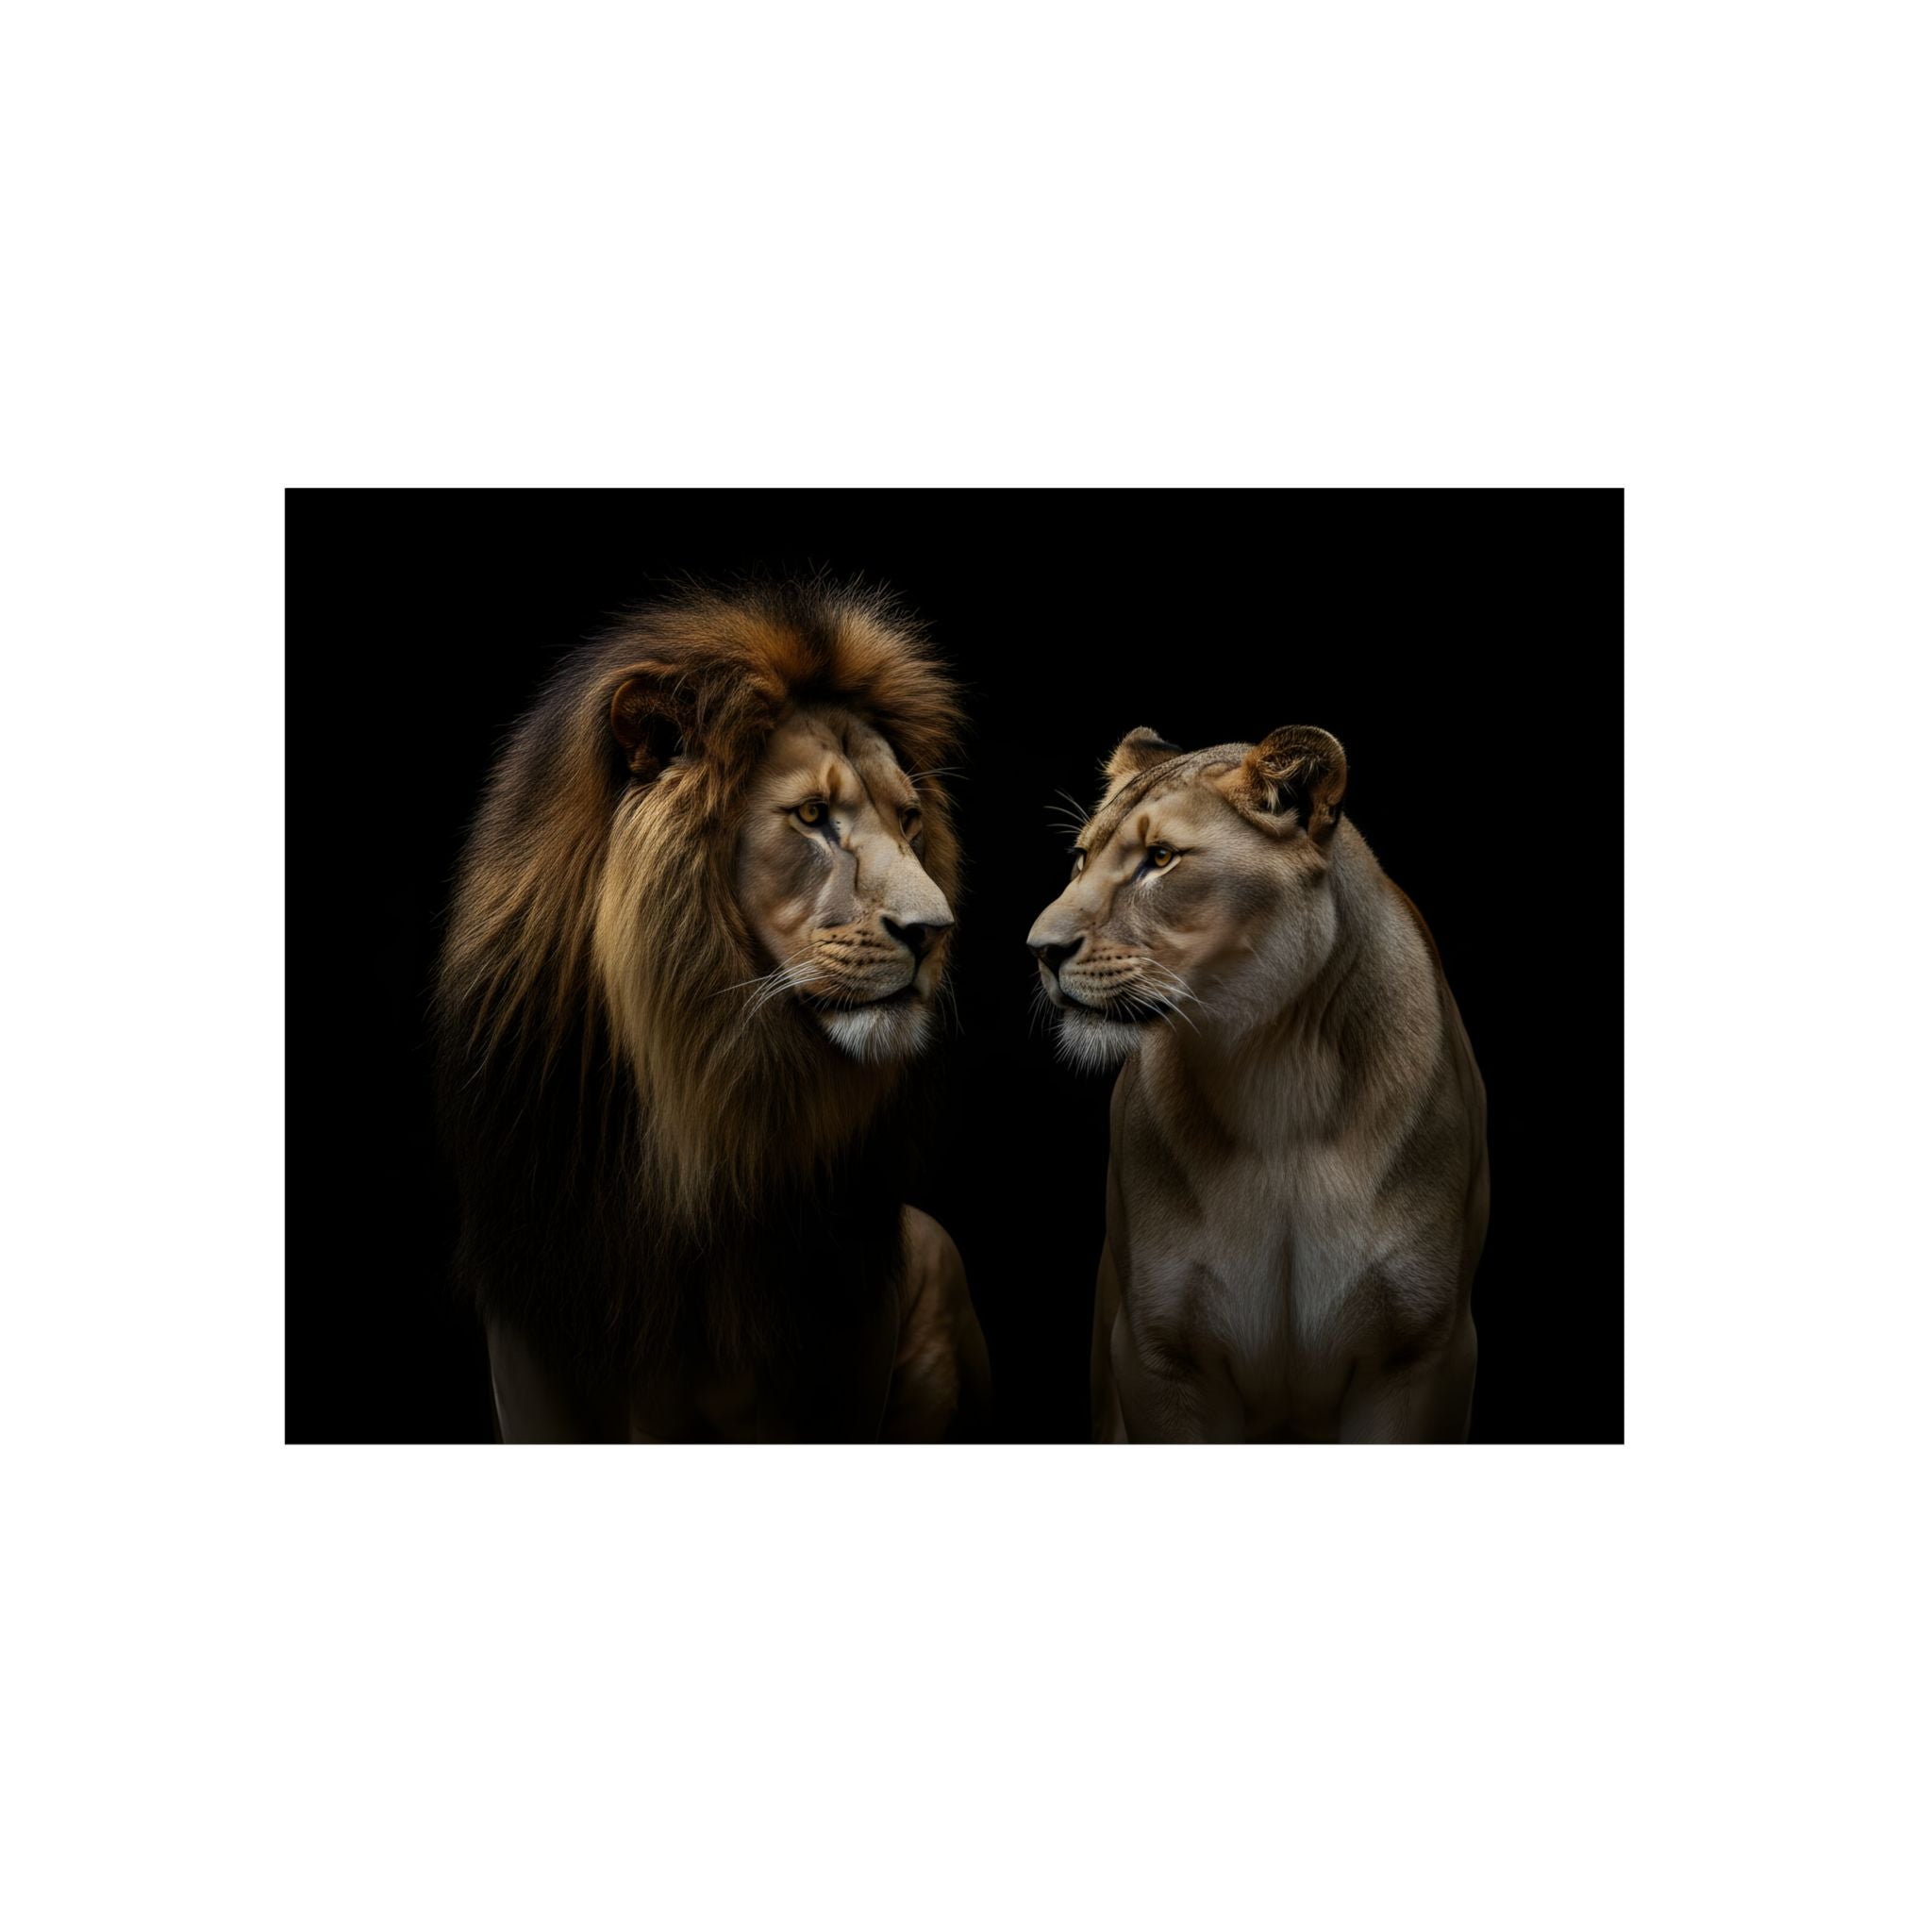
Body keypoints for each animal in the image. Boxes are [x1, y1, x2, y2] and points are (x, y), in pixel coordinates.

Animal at [1026, 725, 1488, 1443]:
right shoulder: (1159, 1351)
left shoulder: (1422, 1350)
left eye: (1161, 858)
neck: (1274, 1073)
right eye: (1080, 859)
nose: (1040, 949)